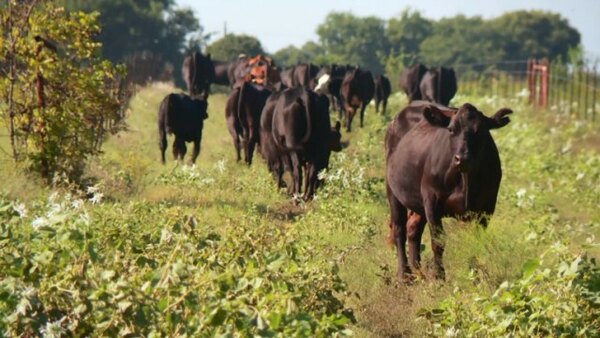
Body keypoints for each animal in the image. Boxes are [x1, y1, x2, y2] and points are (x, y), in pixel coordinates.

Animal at [390, 101, 510, 282]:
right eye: (452, 129)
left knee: (413, 228)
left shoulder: (486, 207)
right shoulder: (431, 201)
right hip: (392, 191)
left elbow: (474, 241)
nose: (463, 159)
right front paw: (439, 278)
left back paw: (419, 273)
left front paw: (474, 277)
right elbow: (438, 242)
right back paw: (405, 275)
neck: (466, 180)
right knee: (399, 229)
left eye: (480, 130)